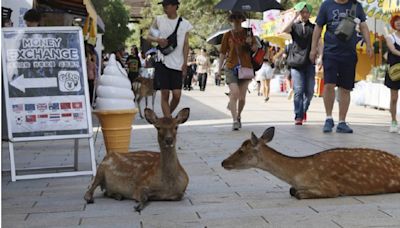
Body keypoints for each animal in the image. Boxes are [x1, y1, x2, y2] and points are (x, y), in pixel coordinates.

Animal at [222, 127, 400, 199]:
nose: (223, 162)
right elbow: (292, 190)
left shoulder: (330, 187)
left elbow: (298, 194)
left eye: (241, 150)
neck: (298, 175)